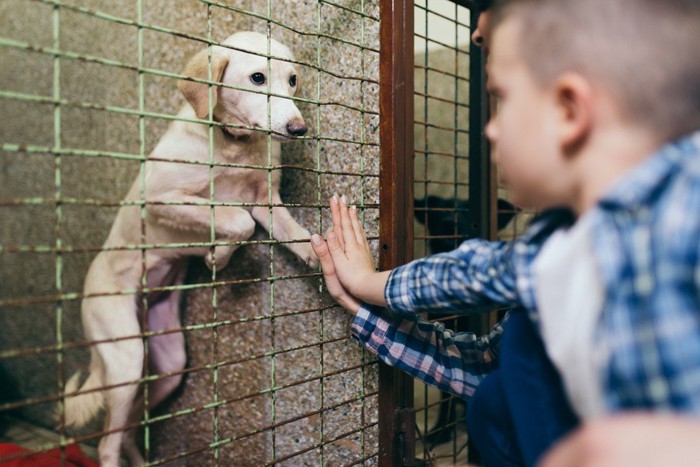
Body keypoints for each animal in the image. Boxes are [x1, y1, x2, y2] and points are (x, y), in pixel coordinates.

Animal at [61, 33, 318, 467]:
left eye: (293, 80)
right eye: (258, 77)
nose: (298, 129)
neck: (233, 145)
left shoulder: (266, 200)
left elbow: (291, 232)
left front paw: (319, 253)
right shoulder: (160, 199)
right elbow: (238, 222)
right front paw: (218, 257)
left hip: (167, 366)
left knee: (130, 428)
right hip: (126, 358)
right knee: (107, 442)